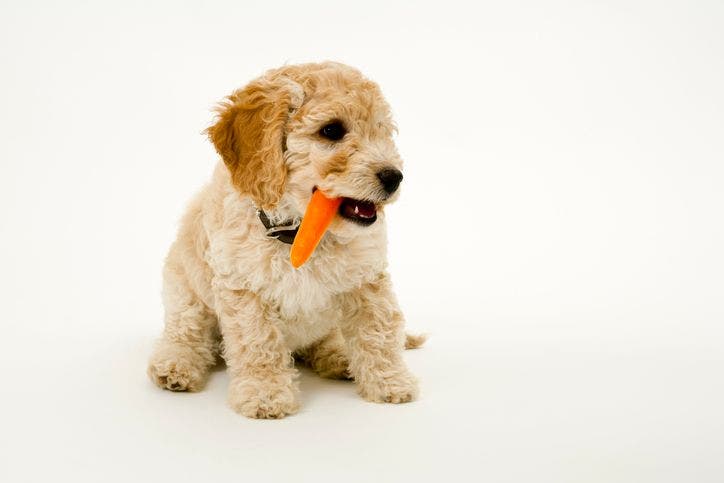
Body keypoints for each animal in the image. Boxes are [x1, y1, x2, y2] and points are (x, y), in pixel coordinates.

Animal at [148, 61, 424, 420]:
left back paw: (338, 357)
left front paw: (391, 382)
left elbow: (378, 329)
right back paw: (175, 366)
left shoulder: (365, 279)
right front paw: (265, 393)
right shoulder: (244, 288)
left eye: (382, 131)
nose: (394, 177)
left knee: (325, 339)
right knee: (186, 333)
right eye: (332, 130)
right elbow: (258, 342)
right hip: (184, 290)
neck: (297, 234)